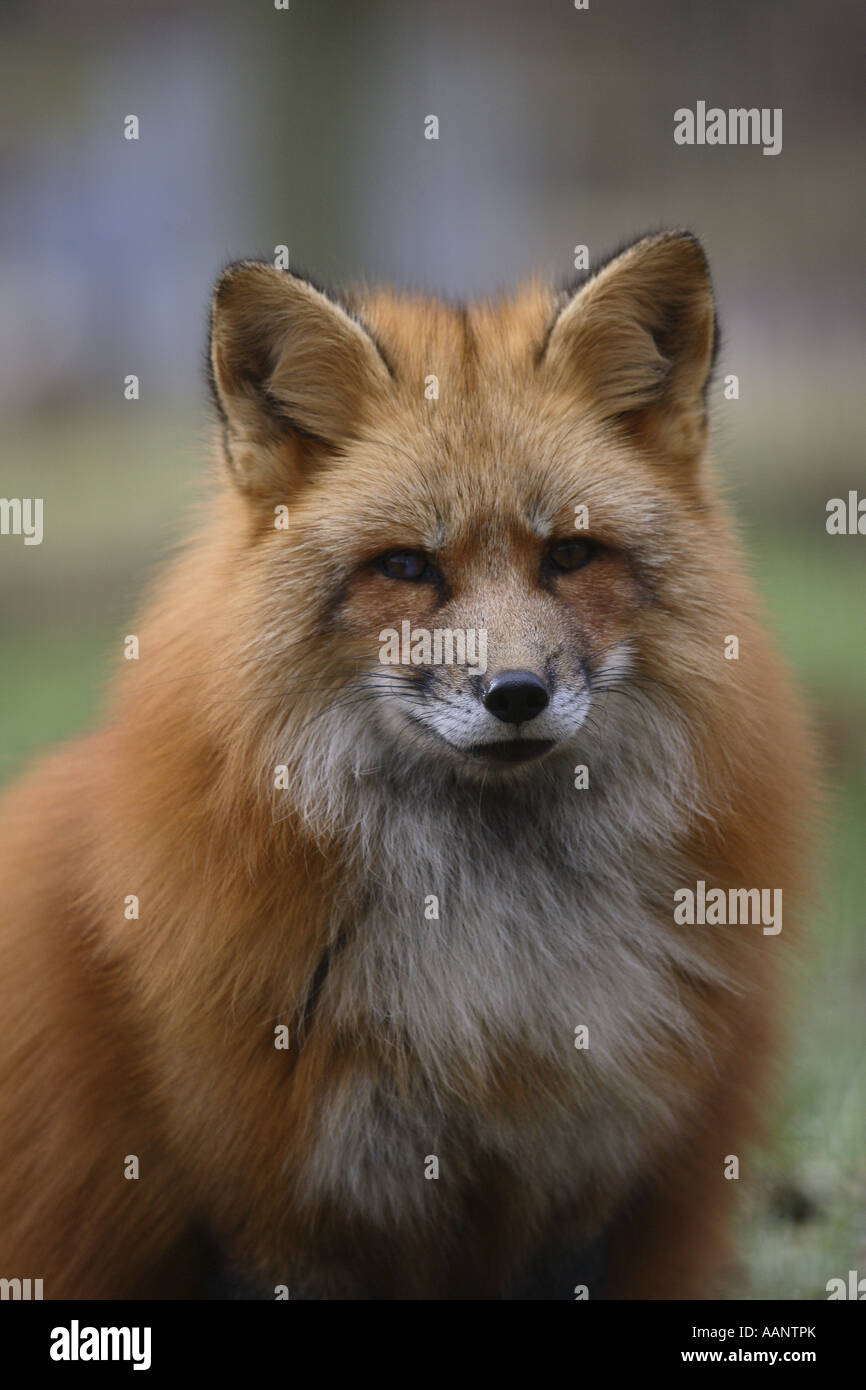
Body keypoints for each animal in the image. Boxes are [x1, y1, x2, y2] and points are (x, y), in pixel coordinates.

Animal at [0, 233, 811, 1295]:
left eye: (570, 556)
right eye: (406, 567)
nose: (516, 693)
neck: (489, 980)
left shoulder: (586, 1180)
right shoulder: (277, 1210)